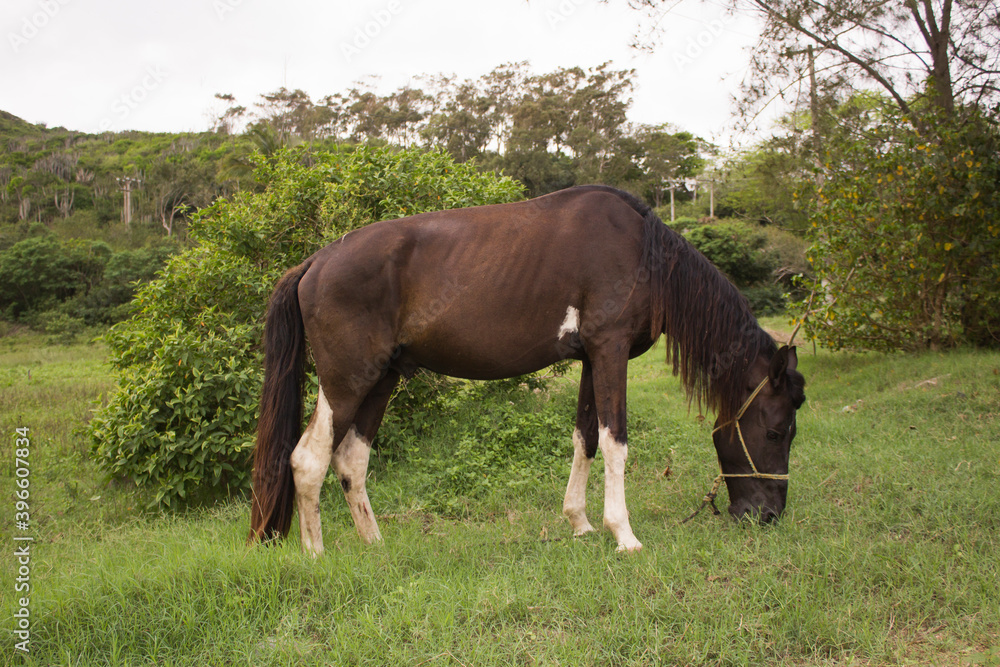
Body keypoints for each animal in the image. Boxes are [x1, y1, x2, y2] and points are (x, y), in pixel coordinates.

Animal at [248, 187, 804, 552]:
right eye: (777, 432)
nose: (767, 516)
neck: (641, 250)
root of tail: (315, 262)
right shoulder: (610, 350)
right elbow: (615, 441)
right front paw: (623, 534)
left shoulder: (590, 359)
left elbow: (585, 438)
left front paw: (580, 523)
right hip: (346, 383)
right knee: (308, 461)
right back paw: (317, 555)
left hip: (380, 381)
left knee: (351, 462)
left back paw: (374, 545)